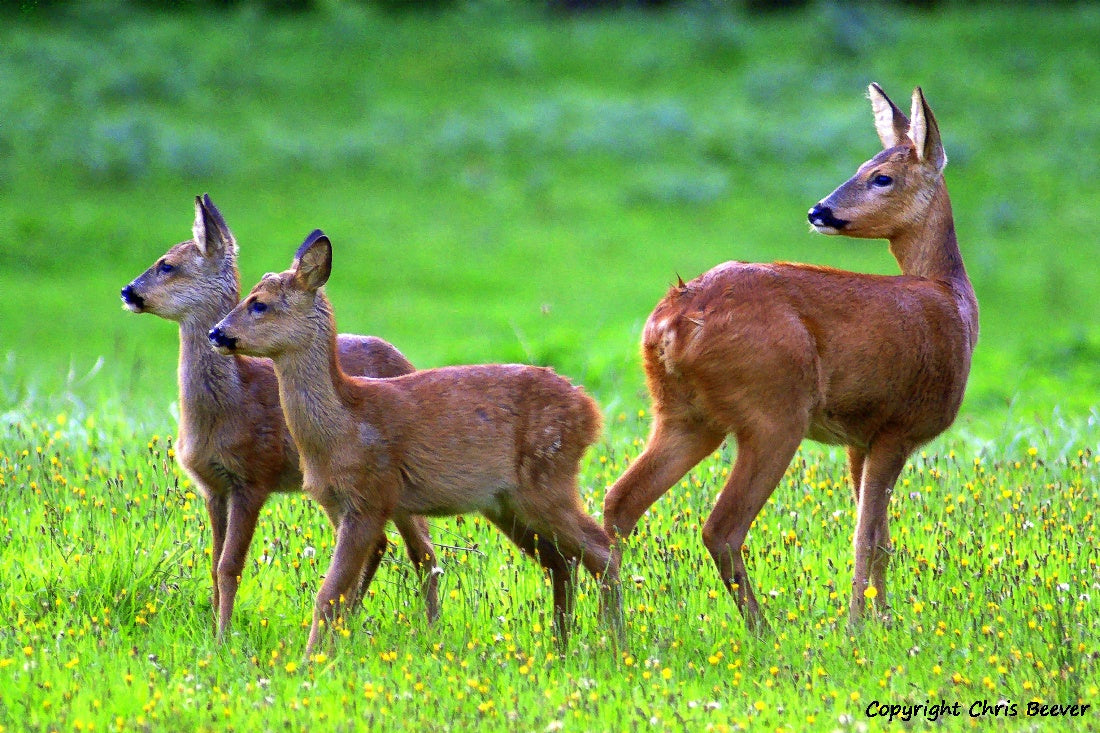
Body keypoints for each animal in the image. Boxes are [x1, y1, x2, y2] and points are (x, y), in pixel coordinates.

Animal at [122, 195, 440, 638]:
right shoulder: (212, 486)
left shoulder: (253, 476)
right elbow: (213, 562)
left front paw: (223, 639)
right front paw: (211, 629)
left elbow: (230, 566)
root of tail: (406, 360)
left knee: (422, 551)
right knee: (383, 545)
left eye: (166, 264)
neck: (227, 407)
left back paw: (427, 629)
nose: (127, 291)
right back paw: (353, 622)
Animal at [206, 230, 620, 651]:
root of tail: (590, 411)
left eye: (260, 304)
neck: (345, 425)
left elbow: (327, 594)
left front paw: (311, 660)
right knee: (561, 561)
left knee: (601, 550)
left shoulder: (371, 497)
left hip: (547, 477)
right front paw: (331, 653)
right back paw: (563, 645)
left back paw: (614, 642)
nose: (216, 332)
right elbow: (340, 594)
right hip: (506, 502)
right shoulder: (338, 503)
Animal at [602, 85, 981, 629]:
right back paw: (762, 632)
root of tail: (670, 324)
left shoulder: (859, 439)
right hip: (774, 411)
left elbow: (882, 538)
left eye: (880, 176)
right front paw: (859, 626)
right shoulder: (897, 426)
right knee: (720, 527)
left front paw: (883, 618)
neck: (954, 301)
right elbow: (866, 534)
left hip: (683, 414)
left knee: (619, 503)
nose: (818, 211)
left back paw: (612, 627)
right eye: (866, 167)